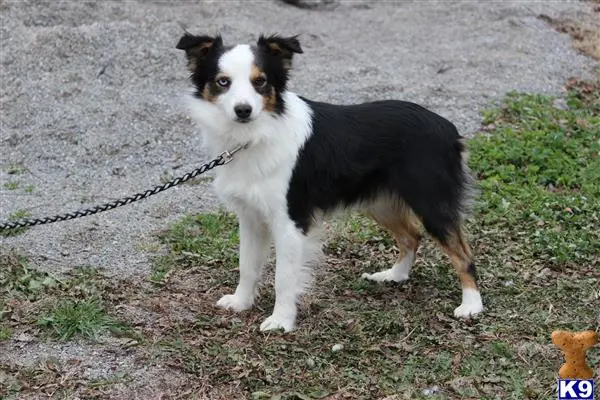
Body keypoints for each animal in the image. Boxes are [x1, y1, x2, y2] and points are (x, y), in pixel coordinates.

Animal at [175, 32, 482, 332]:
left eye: (260, 81)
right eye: (222, 82)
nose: (243, 110)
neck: (257, 134)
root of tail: (449, 129)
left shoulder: (290, 220)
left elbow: (283, 277)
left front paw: (281, 321)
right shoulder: (250, 216)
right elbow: (247, 264)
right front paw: (241, 302)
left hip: (431, 203)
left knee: (463, 254)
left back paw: (471, 305)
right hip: (380, 201)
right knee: (411, 236)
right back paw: (394, 276)